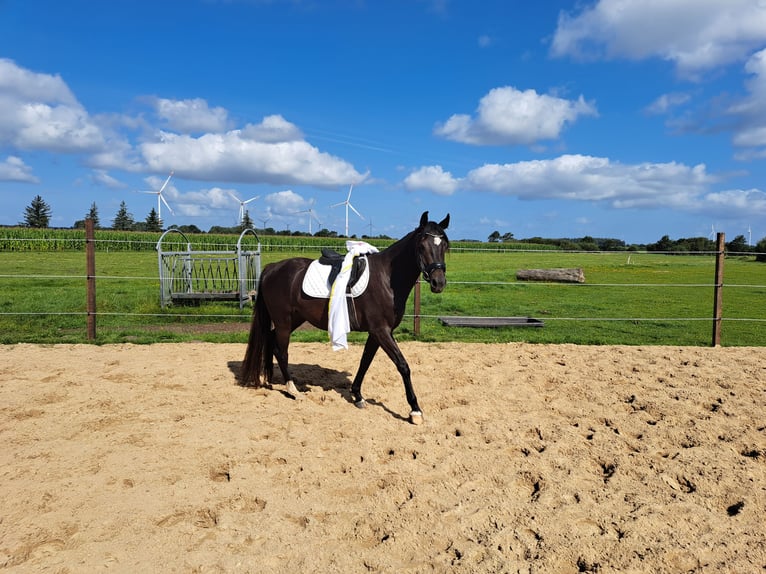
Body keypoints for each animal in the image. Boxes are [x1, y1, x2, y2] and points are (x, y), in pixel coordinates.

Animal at [242, 212, 450, 424]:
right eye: (422, 246)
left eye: (444, 245)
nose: (438, 282)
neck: (387, 278)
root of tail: (272, 268)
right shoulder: (381, 331)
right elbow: (403, 365)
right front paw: (415, 410)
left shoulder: (378, 333)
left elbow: (365, 362)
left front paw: (357, 395)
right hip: (284, 322)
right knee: (281, 351)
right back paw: (293, 390)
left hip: (294, 319)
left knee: (271, 341)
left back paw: (271, 379)